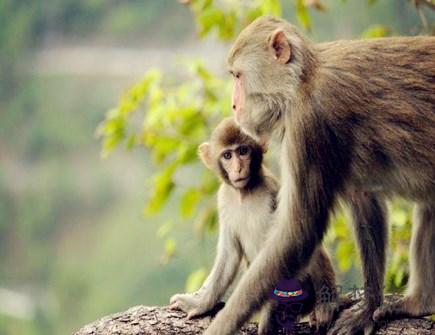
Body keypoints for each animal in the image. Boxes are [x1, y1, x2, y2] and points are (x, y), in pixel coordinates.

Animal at [170, 118, 340, 334]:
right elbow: (230, 256)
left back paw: (323, 306)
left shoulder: (273, 194)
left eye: (243, 151)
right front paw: (200, 304)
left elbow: (284, 251)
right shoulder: (224, 198)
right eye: (227, 155)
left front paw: (267, 324)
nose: (238, 169)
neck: (244, 194)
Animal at [204, 15, 435, 335]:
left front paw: (221, 326)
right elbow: (364, 200)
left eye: (238, 76)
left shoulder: (308, 124)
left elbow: (298, 231)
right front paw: (369, 307)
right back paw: (420, 304)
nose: (234, 105)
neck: (301, 82)